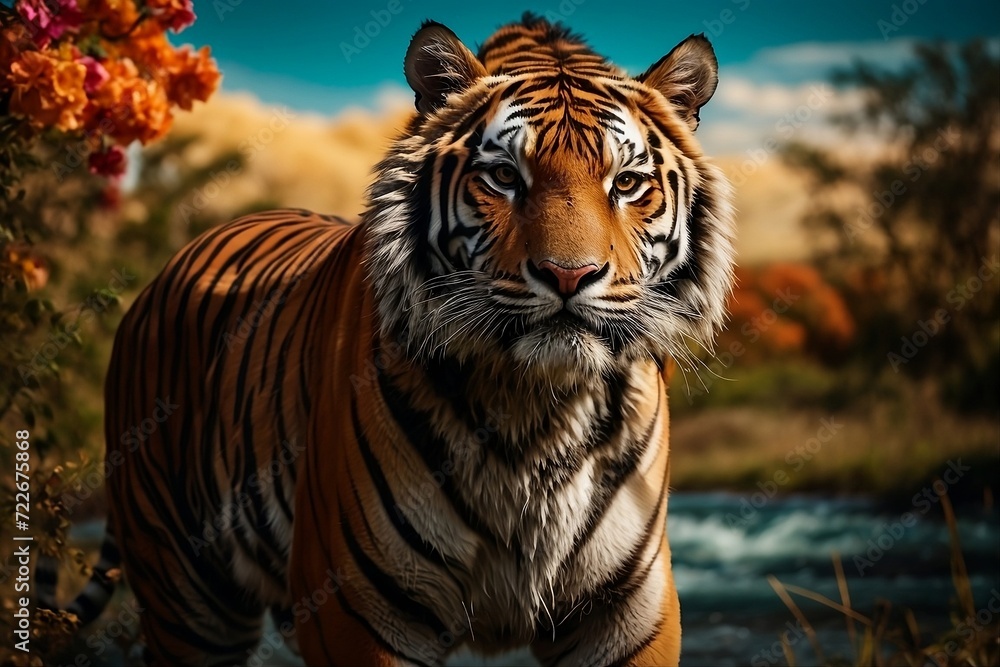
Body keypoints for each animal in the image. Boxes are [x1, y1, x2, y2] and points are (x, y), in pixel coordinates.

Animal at [40, 13, 735, 667]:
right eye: (505, 177)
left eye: (627, 184)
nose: (570, 275)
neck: (537, 408)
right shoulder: (359, 613)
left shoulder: (625, 614)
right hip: (187, 596)